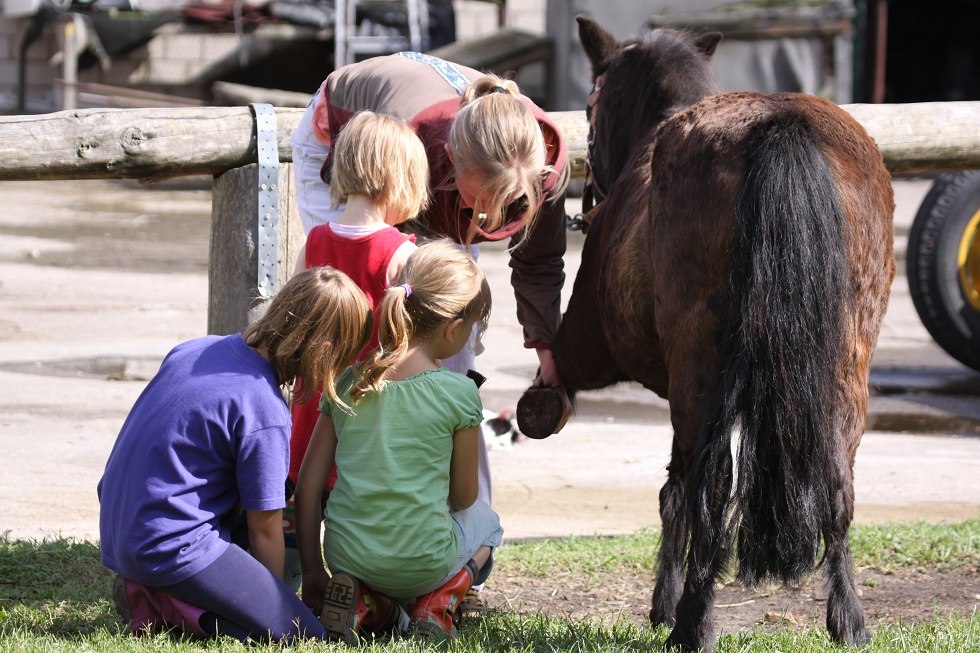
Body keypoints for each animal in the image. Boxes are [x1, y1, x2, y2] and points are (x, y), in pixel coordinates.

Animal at [520, 15, 896, 652]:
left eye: (591, 104)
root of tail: (778, 127)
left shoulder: (599, 352)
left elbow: (675, 490)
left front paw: (665, 603)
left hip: (700, 372)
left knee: (710, 489)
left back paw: (693, 622)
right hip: (845, 366)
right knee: (837, 484)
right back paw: (848, 620)